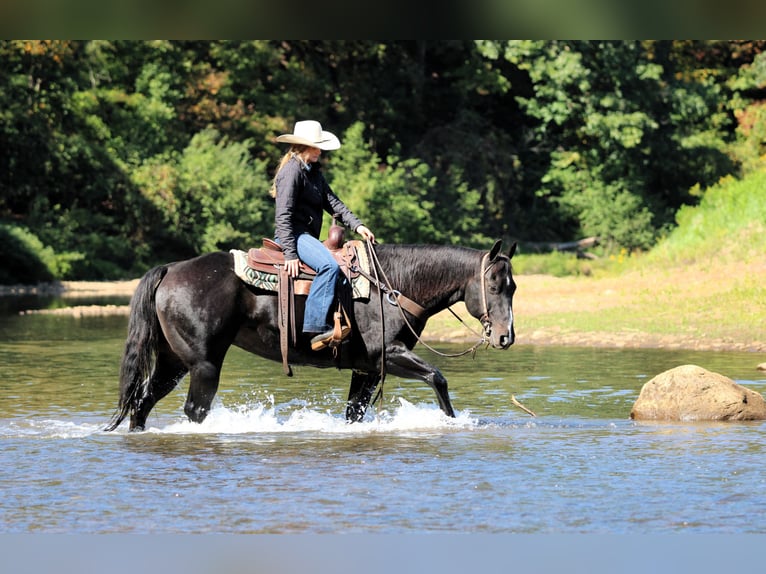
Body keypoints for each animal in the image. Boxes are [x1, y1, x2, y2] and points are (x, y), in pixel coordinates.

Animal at [105, 240, 517, 431]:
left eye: (513, 287)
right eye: (494, 286)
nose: (505, 338)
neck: (393, 285)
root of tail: (172, 268)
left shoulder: (367, 369)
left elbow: (354, 413)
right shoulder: (389, 355)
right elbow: (438, 378)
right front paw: (451, 422)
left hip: (174, 362)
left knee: (142, 403)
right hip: (204, 365)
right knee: (194, 410)